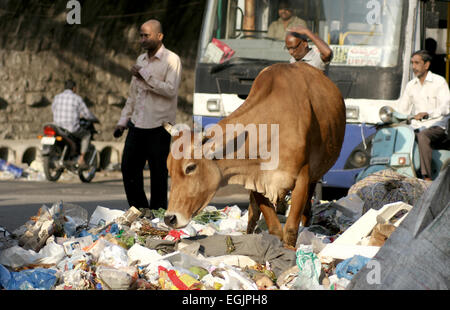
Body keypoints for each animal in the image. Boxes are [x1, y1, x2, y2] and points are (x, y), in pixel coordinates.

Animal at [163, 61, 346, 246]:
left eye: (190, 167)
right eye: (169, 169)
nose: (170, 218)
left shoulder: (302, 178)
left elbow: (290, 229)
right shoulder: (256, 180)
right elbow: (274, 228)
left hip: (314, 177)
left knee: (307, 211)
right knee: (252, 215)